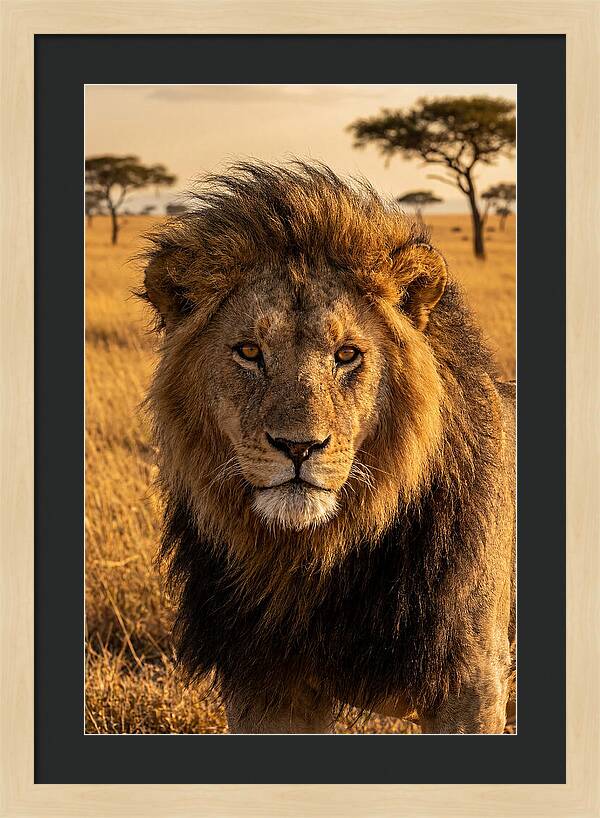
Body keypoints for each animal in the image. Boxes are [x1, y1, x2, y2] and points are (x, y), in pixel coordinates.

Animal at [141, 161, 516, 734]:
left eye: (347, 354)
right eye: (249, 351)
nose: (298, 447)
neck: (314, 559)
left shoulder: (471, 682)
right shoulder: (265, 685)